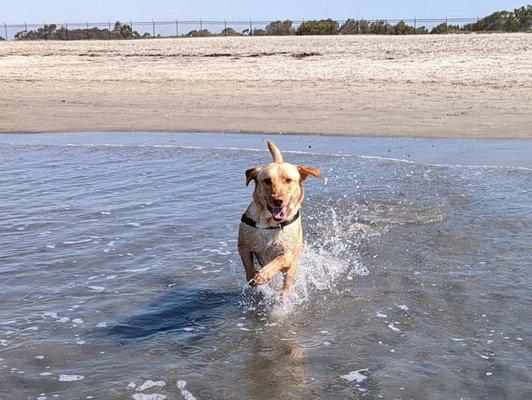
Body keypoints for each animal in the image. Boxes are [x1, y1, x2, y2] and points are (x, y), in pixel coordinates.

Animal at [239, 141, 322, 294]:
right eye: (267, 181)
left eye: (288, 180)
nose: (278, 200)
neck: (270, 224)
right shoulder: (243, 246)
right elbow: (248, 267)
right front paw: (254, 278)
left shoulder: (287, 255)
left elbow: (277, 261)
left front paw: (263, 275)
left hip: (292, 268)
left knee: (286, 286)